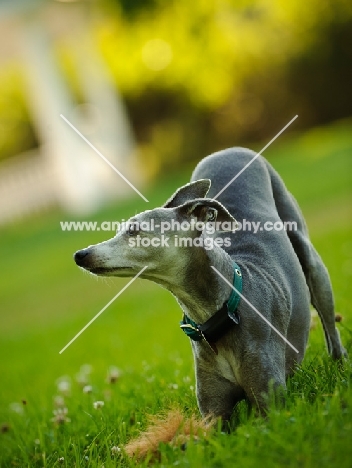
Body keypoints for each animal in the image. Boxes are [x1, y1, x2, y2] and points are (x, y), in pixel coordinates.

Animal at [74, 149, 346, 420]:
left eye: (133, 230)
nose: (80, 255)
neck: (222, 311)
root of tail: (230, 150)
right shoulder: (213, 415)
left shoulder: (270, 404)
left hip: (310, 260)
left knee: (330, 330)